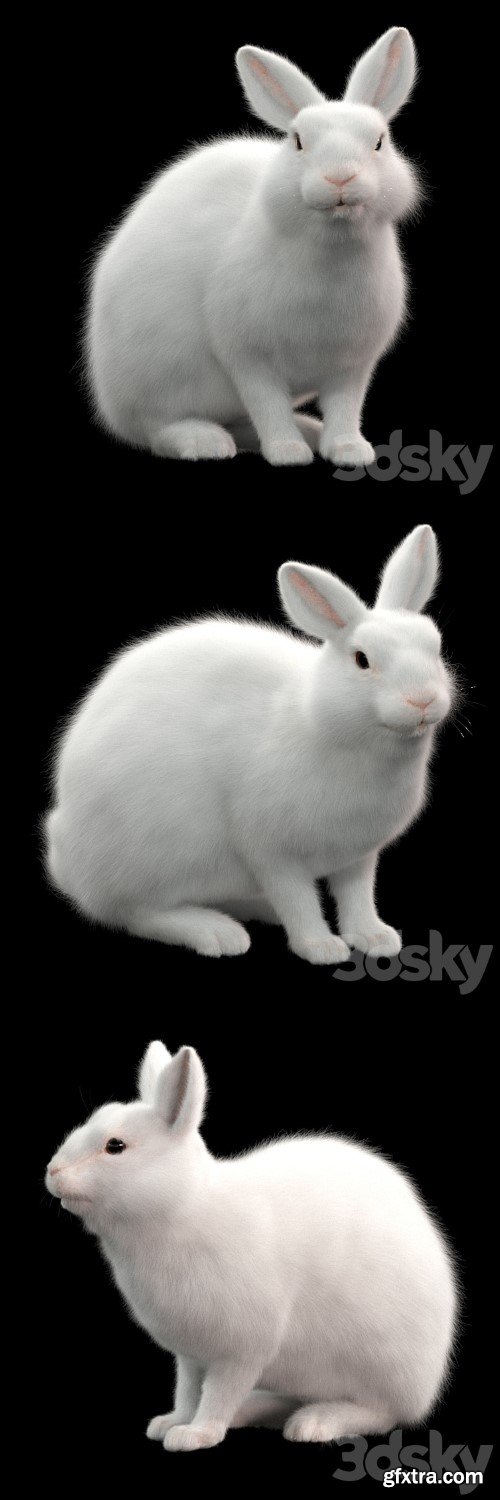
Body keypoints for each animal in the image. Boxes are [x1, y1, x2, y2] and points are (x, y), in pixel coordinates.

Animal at [45, 524, 455, 965]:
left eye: (435, 647)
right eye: (362, 659)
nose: (423, 701)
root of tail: (68, 865)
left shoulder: (358, 856)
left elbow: (357, 898)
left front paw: (376, 939)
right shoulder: (271, 851)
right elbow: (297, 900)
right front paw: (321, 947)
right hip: (158, 857)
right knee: (136, 912)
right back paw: (217, 932)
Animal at [45, 1039, 457, 1451]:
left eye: (115, 1146)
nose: (52, 1172)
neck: (184, 1206)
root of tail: (426, 1387)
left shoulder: (239, 1352)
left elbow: (218, 1395)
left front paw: (195, 1435)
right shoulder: (191, 1356)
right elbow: (188, 1392)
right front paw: (171, 1423)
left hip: (379, 1369)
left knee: (381, 1413)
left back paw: (315, 1422)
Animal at [86, 28, 420, 466]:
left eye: (379, 142)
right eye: (298, 141)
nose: (339, 178)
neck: (333, 246)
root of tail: (109, 403)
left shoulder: (352, 365)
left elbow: (345, 408)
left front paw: (350, 450)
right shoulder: (248, 358)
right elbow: (268, 406)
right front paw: (287, 452)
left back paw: (308, 430)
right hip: (164, 382)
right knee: (158, 428)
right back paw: (205, 441)